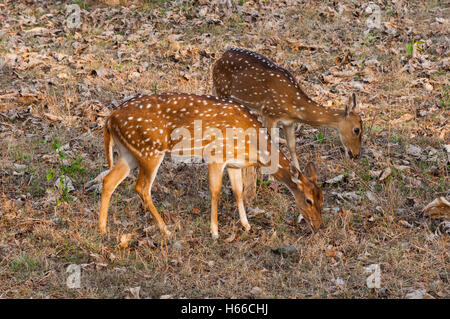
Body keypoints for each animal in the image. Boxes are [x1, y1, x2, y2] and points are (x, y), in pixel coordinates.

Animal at [98, 94, 324, 239]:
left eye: (322, 198)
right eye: (308, 200)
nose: (318, 225)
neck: (253, 146)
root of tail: (109, 119)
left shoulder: (234, 163)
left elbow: (238, 191)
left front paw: (246, 225)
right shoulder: (216, 155)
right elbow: (215, 191)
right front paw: (214, 232)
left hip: (129, 153)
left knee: (109, 180)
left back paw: (102, 229)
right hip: (150, 150)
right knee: (141, 187)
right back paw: (166, 230)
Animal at [211, 48, 362, 170]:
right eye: (357, 130)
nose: (356, 154)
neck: (294, 107)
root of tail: (220, 58)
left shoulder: (288, 122)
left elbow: (292, 146)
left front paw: (299, 173)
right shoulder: (269, 112)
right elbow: (270, 145)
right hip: (223, 91)